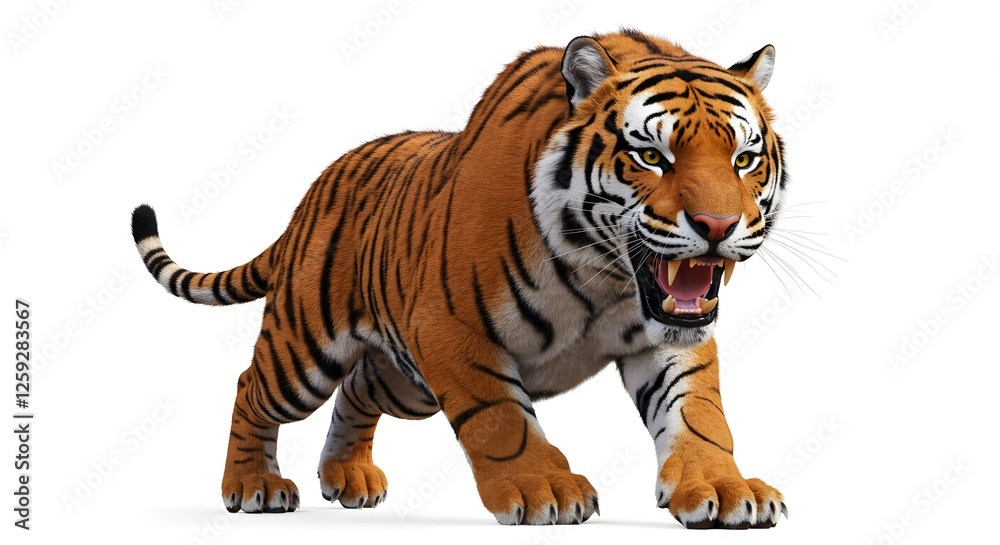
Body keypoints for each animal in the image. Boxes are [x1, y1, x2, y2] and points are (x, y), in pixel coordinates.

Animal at [131, 29, 789, 529]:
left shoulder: (671, 336)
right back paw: (253, 486)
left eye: (744, 159)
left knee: (358, 387)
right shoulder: (450, 331)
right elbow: (502, 419)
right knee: (251, 386)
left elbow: (699, 416)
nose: (717, 225)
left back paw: (348, 476)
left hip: (405, 383)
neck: (606, 278)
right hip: (305, 352)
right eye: (652, 156)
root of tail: (312, 192)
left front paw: (724, 490)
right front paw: (543, 489)